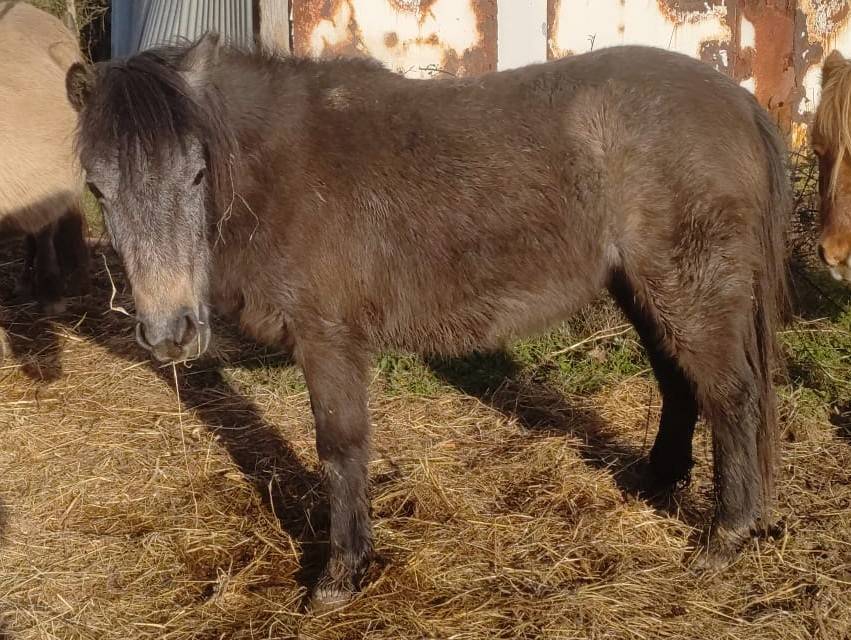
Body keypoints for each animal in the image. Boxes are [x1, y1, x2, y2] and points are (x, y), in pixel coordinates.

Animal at [66, 33, 790, 607]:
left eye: (195, 174)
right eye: (98, 188)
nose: (171, 332)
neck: (282, 173)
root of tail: (737, 101)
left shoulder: (328, 342)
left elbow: (340, 449)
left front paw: (339, 577)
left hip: (687, 288)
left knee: (731, 396)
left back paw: (724, 536)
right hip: (642, 288)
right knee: (679, 385)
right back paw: (655, 481)